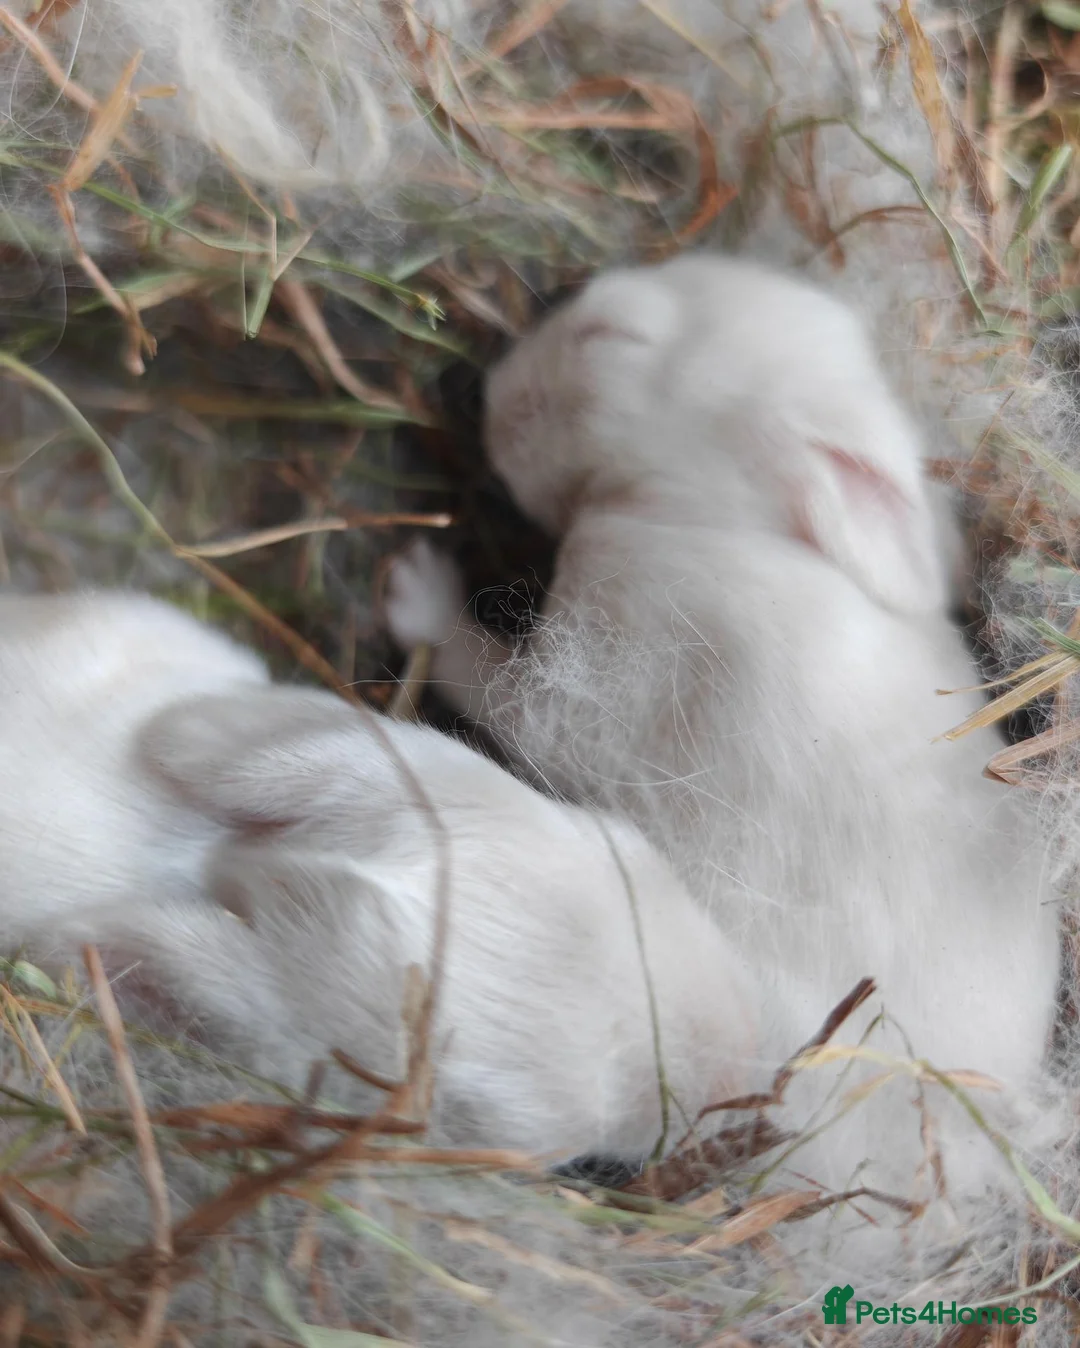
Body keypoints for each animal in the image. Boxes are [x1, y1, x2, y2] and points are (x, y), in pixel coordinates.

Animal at [384, 254, 1062, 1248]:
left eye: (612, 336)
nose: (490, 388)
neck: (716, 519)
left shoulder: (600, 677)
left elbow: (505, 692)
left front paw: (415, 590)